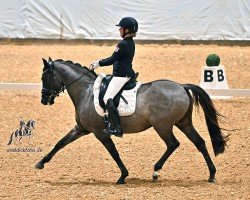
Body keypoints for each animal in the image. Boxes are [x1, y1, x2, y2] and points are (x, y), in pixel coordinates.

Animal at [35, 57, 229, 184]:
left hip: (163, 126)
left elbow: (114, 153)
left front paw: (122, 176)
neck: (87, 92)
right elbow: (60, 143)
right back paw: (211, 174)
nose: (44, 100)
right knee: (200, 142)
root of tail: (181, 86)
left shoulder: (100, 133)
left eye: (44, 77)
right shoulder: (80, 128)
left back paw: (156, 171)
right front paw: (40, 163)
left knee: (173, 144)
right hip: (184, 123)